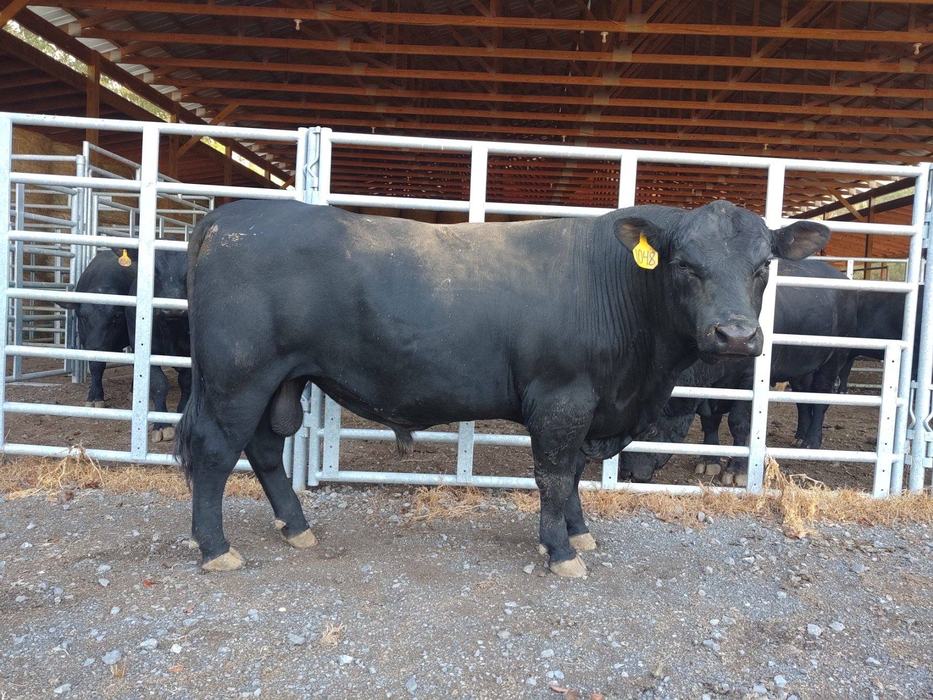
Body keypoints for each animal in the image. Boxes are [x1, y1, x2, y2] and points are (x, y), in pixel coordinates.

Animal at [174, 199, 828, 576]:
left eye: (763, 265)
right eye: (684, 264)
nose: (735, 335)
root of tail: (227, 217)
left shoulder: (587, 405)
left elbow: (572, 475)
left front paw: (578, 533)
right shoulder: (562, 398)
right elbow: (554, 473)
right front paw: (560, 551)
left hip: (278, 380)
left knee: (263, 448)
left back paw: (296, 527)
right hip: (238, 376)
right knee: (214, 450)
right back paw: (215, 547)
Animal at [619, 259, 855, 485]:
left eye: (650, 430)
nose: (627, 473)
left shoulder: (748, 381)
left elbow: (740, 423)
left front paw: (738, 470)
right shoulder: (711, 388)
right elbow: (710, 421)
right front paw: (709, 460)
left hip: (833, 360)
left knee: (821, 399)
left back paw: (811, 441)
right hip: (801, 371)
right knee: (803, 400)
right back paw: (800, 435)